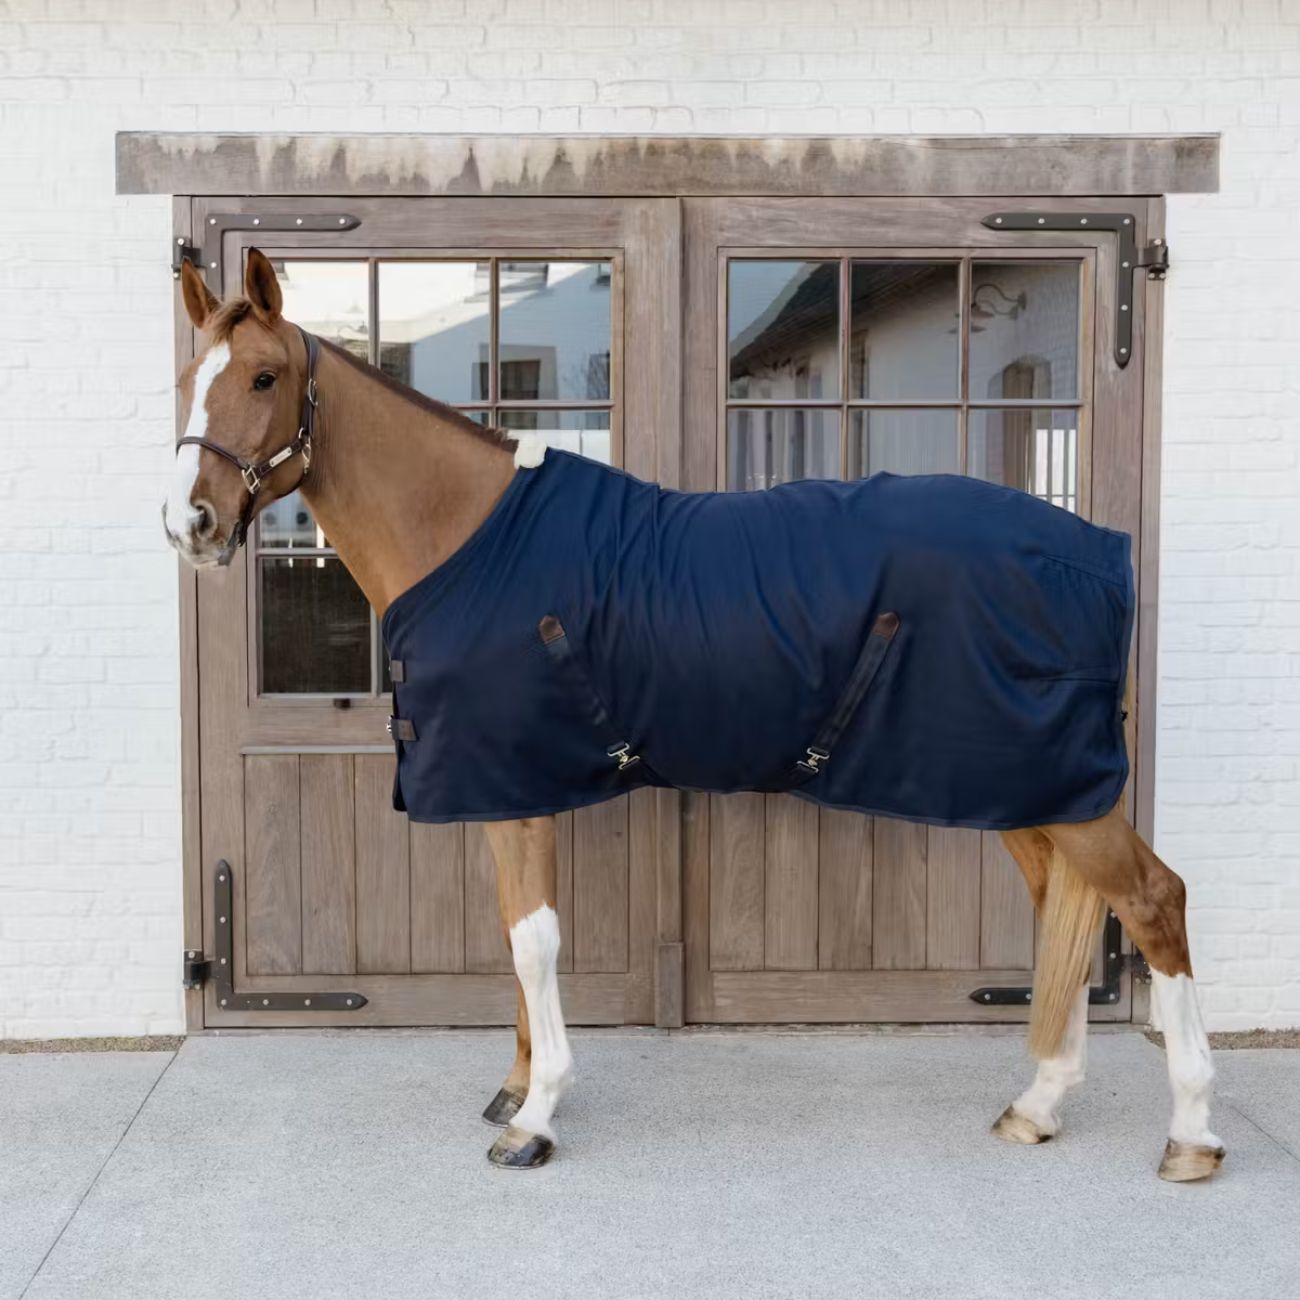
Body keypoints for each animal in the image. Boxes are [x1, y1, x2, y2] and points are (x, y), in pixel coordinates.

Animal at [164, 249, 1223, 1182]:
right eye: (186, 377)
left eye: (263, 376)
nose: (192, 524)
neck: (467, 537)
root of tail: (1094, 552)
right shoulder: (501, 787)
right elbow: (512, 936)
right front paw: (514, 1089)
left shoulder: (514, 787)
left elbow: (534, 942)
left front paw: (535, 1119)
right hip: (1027, 789)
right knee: (1064, 913)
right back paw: (1037, 1105)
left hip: (1064, 790)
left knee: (1152, 901)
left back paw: (1191, 1135)